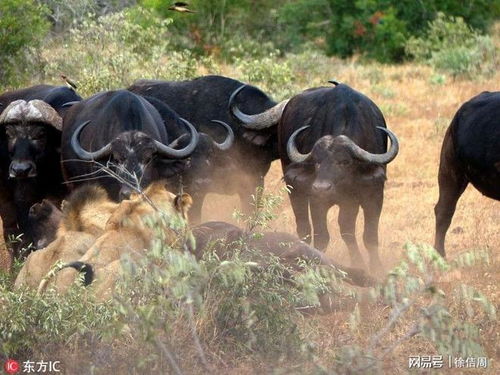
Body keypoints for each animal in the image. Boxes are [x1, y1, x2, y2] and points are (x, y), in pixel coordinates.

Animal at [230, 82, 398, 272]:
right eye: (316, 162)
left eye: (345, 162)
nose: (322, 187)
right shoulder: (317, 200)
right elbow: (322, 237)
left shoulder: (373, 193)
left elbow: (369, 236)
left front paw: (375, 268)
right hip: (296, 190)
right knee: (304, 228)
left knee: (346, 228)